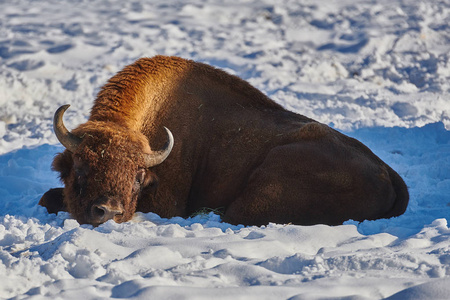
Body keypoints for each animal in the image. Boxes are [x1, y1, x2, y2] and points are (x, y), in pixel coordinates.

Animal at [40, 55, 410, 226]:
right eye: (81, 168)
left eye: (137, 178)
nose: (108, 212)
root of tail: (387, 174)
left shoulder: (165, 204)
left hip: (256, 193)